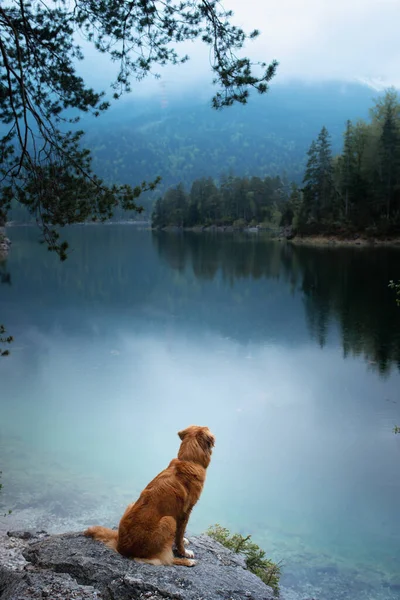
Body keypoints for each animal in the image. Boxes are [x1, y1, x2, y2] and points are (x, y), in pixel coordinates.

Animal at [85, 426, 216, 568]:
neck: (189, 460)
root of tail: (120, 546)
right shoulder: (185, 511)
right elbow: (180, 534)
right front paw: (184, 551)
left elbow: (179, 534)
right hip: (169, 520)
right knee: (164, 559)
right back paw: (187, 561)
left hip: (131, 504)